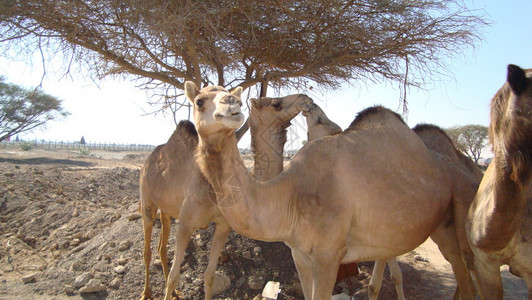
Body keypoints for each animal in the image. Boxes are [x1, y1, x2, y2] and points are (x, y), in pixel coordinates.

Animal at [184, 81, 482, 298]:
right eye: (199, 102)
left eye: (229, 96)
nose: (231, 105)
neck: (287, 193)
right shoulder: (300, 254)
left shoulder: (329, 255)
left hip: (459, 211)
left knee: (466, 268)